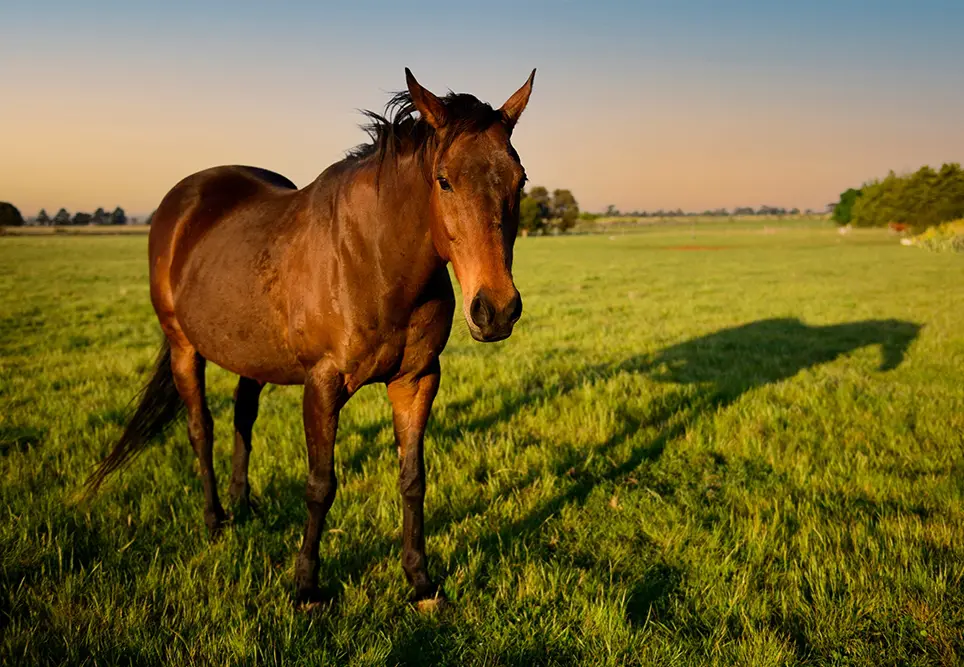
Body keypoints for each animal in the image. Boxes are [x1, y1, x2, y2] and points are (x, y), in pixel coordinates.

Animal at [82, 67, 537, 607]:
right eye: (444, 180)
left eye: (519, 180)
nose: (497, 309)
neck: (375, 261)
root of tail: (182, 200)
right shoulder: (322, 386)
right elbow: (320, 484)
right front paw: (306, 587)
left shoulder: (417, 380)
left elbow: (413, 479)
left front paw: (421, 582)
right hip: (183, 347)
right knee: (201, 428)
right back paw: (215, 521)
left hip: (251, 354)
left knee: (242, 418)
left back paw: (243, 503)